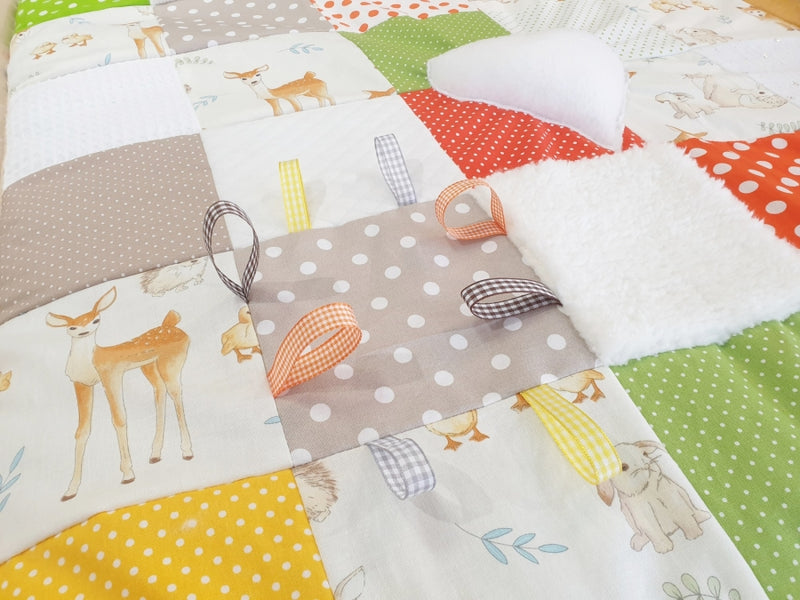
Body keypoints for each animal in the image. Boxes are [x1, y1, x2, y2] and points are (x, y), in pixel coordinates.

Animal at [46, 287, 193, 501]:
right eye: (72, 327)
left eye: (95, 320)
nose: (83, 331)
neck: (90, 361)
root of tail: (171, 323)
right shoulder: (81, 384)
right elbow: (82, 431)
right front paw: (70, 490)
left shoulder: (111, 374)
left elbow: (119, 419)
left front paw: (128, 474)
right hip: (149, 366)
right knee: (160, 391)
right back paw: (155, 454)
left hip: (172, 362)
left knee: (176, 393)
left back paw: (187, 452)